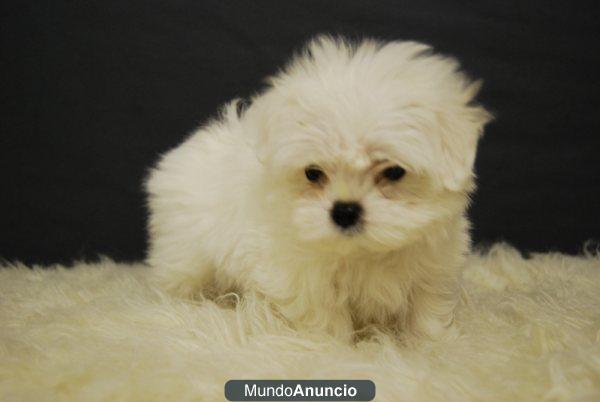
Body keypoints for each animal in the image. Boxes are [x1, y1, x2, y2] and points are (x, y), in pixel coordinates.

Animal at [146, 37, 492, 340]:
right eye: (313, 173)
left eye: (394, 172)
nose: (345, 210)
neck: (365, 252)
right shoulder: (303, 277)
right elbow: (325, 317)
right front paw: (333, 348)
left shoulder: (433, 269)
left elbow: (426, 311)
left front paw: (430, 345)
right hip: (186, 255)